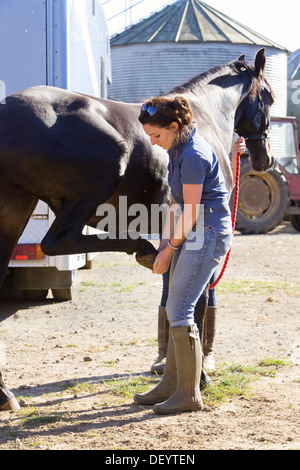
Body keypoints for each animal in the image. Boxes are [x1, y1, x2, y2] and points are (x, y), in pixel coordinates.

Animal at [0, 46, 274, 408]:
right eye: (269, 97)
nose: (266, 158)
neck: (203, 119)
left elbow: (175, 303)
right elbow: (196, 306)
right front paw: (200, 379)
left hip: (14, 210)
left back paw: (4, 393)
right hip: (96, 180)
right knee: (58, 242)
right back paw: (141, 248)